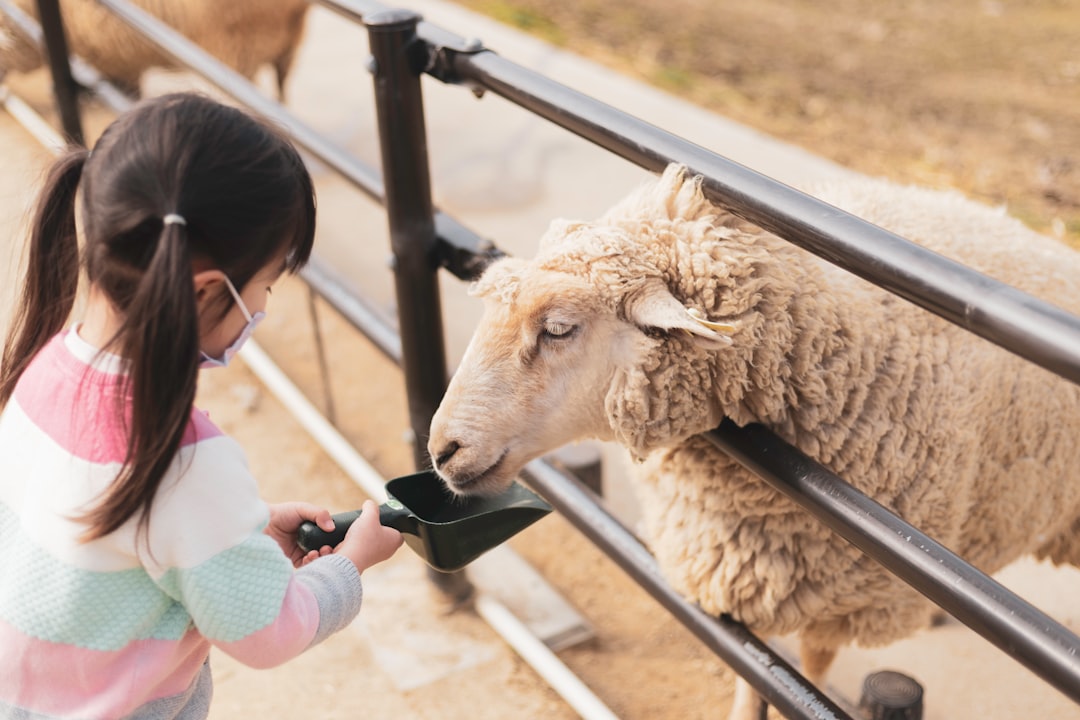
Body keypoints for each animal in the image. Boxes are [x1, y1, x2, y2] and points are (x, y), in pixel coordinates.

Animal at [427, 165, 1080, 720]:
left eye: (559, 328)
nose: (441, 451)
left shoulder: (847, 596)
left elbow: (809, 668)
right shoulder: (743, 568)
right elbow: (753, 670)